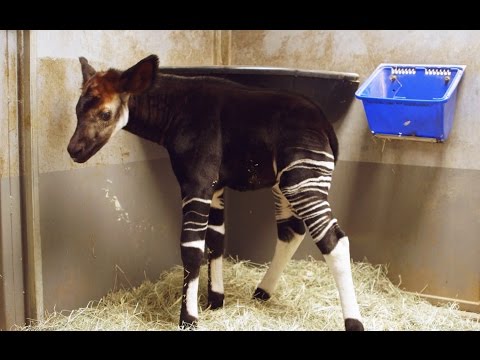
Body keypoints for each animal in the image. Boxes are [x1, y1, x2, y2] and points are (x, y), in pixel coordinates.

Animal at [67, 54, 364, 330]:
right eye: (77, 110)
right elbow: (216, 240)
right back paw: (262, 291)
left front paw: (188, 318)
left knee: (333, 240)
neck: (175, 110)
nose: (73, 150)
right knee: (291, 232)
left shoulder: (196, 182)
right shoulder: (215, 185)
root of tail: (326, 125)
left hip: (302, 178)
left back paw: (353, 321)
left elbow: (192, 249)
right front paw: (215, 300)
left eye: (105, 114)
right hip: (285, 184)